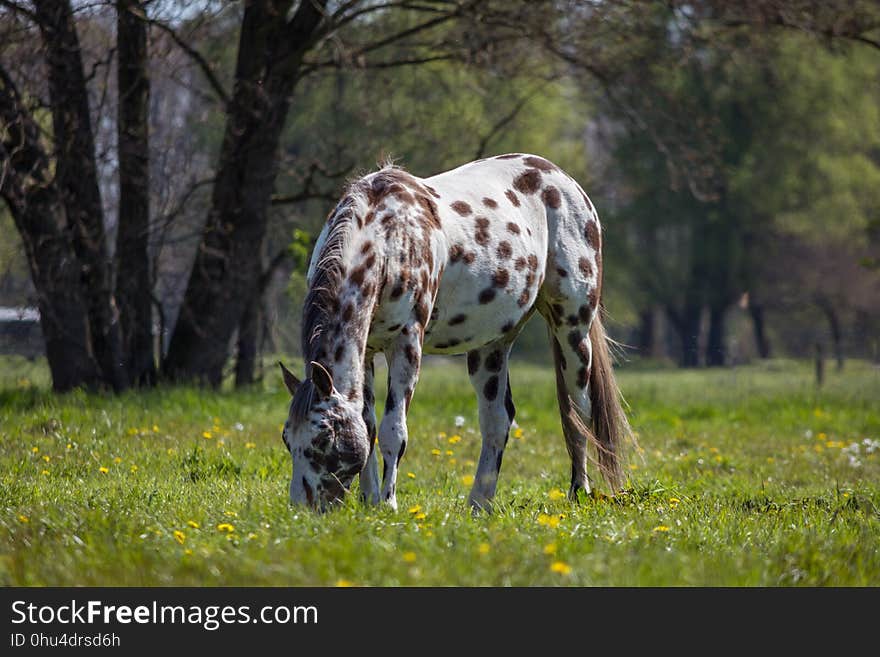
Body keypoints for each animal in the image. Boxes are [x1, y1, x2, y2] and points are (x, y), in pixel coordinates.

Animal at [278, 151, 628, 510]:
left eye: (323, 439)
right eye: (287, 438)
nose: (301, 508)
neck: (389, 238)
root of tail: (563, 180)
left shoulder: (406, 344)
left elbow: (393, 431)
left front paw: (388, 504)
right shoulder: (367, 351)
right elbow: (368, 425)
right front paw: (370, 500)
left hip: (572, 330)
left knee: (578, 413)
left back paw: (578, 491)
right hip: (492, 345)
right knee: (497, 421)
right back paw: (479, 504)